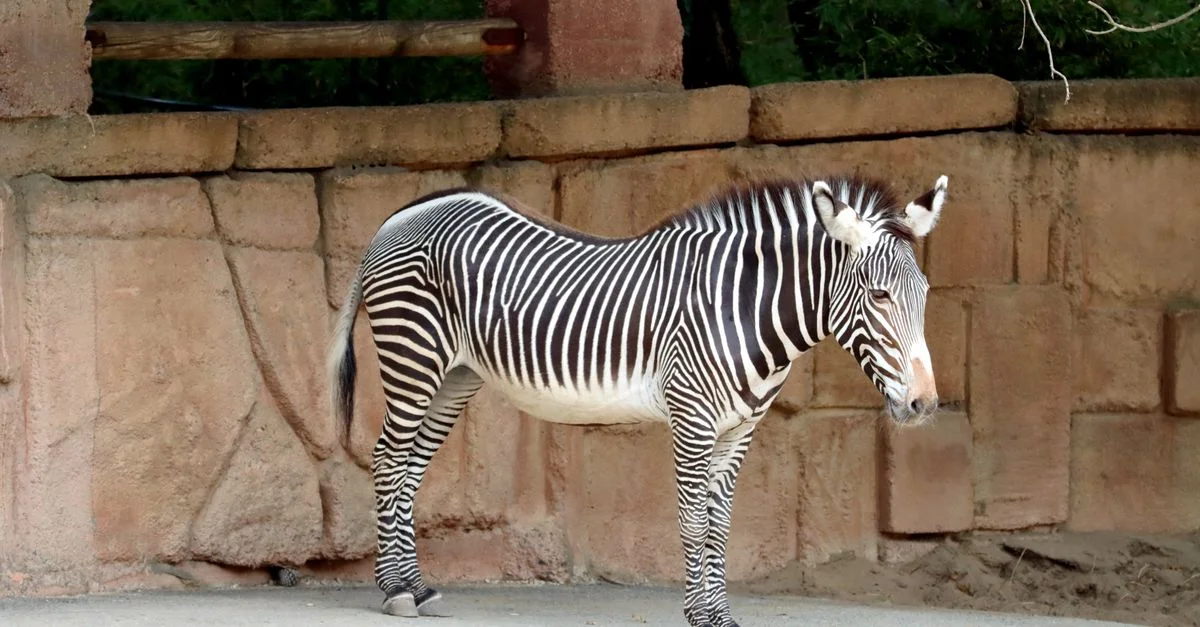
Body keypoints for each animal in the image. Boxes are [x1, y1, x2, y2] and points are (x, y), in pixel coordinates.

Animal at [327, 171, 948, 627]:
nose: (924, 406)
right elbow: (694, 521)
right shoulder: (693, 416)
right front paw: (699, 617)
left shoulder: (740, 429)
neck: (744, 311)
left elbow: (720, 523)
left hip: (455, 376)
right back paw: (394, 591)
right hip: (413, 356)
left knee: (410, 469)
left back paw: (417, 587)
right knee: (387, 461)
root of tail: (406, 211)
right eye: (879, 295)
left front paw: (720, 618)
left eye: (924, 293)